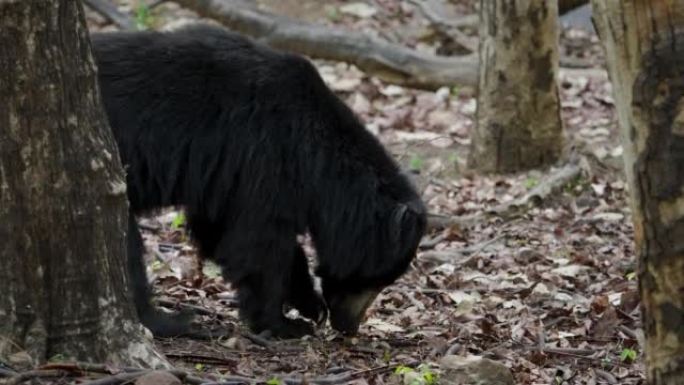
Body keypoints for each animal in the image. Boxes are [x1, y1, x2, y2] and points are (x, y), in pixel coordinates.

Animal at [89, 24, 424, 336]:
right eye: (377, 280)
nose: (349, 326)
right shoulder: (263, 155)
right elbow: (258, 241)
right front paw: (285, 324)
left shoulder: (224, 178)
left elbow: (220, 229)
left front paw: (310, 305)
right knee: (124, 250)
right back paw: (169, 321)